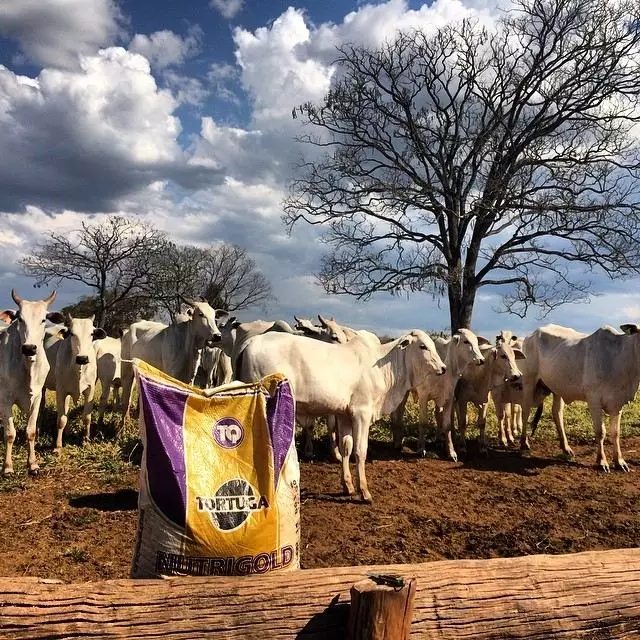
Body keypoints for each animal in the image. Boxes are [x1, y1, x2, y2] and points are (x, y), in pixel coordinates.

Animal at [0, 290, 62, 476]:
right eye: (20, 319)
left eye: (43, 319)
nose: (29, 348)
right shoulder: (5, 400)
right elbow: (10, 434)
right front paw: (7, 467)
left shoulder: (36, 398)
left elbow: (31, 431)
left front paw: (33, 464)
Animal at [43, 316, 107, 450]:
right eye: (72, 334)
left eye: (91, 333)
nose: (82, 358)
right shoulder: (60, 391)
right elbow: (61, 420)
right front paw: (57, 446)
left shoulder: (90, 390)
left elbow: (86, 417)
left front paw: (86, 440)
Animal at [120, 302, 228, 430]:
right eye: (200, 314)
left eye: (215, 316)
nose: (217, 335)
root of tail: (128, 329)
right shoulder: (170, 375)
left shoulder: (190, 378)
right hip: (126, 368)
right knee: (126, 396)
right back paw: (124, 425)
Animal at [239, 332, 444, 502]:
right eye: (423, 346)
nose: (443, 368)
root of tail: (251, 341)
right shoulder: (361, 413)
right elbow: (360, 451)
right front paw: (364, 492)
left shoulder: (344, 415)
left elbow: (346, 448)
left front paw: (348, 486)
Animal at [516, 324, 636, 470]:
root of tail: (531, 335)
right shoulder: (594, 401)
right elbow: (600, 432)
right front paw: (602, 461)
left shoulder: (617, 404)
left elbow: (616, 433)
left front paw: (619, 461)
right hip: (529, 381)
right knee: (526, 410)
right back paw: (524, 443)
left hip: (557, 387)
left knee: (557, 412)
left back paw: (566, 447)